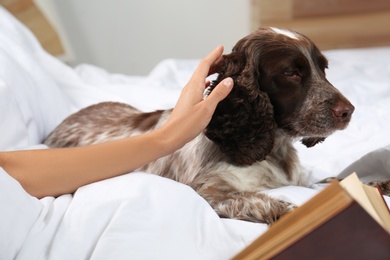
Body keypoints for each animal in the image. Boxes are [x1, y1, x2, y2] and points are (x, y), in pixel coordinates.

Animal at [44, 27, 354, 223]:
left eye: (323, 69)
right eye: (291, 73)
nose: (348, 111)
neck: (273, 149)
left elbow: (329, 180)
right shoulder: (207, 189)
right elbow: (262, 201)